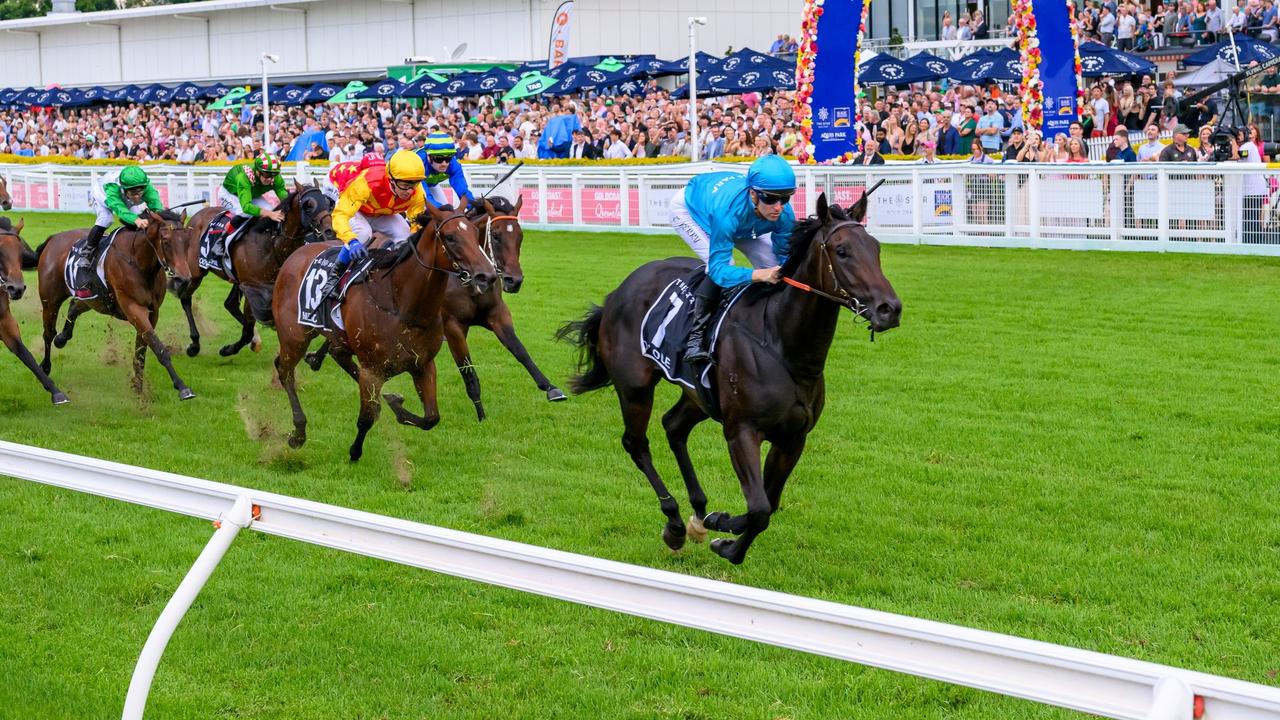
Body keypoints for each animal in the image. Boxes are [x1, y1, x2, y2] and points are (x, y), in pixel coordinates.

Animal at [36, 210, 197, 399]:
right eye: (165, 242)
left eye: (187, 241)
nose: (183, 279)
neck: (137, 261)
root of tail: (54, 238)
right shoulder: (134, 309)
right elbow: (158, 347)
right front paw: (182, 386)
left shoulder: (152, 312)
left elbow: (142, 350)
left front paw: (138, 387)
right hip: (50, 301)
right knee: (48, 333)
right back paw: (45, 367)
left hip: (93, 298)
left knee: (75, 306)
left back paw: (62, 338)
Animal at [175, 181, 335, 356]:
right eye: (309, 205)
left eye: (327, 202)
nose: (329, 232)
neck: (272, 244)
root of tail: (196, 216)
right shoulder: (252, 287)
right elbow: (248, 330)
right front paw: (228, 349)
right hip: (197, 271)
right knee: (185, 298)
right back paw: (194, 344)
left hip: (236, 279)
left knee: (230, 304)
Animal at [272, 202, 496, 458]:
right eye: (450, 237)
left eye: (475, 233)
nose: (487, 275)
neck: (403, 305)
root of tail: (295, 255)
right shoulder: (372, 369)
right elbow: (365, 418)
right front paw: (355, 452)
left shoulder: (423, 364)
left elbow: (431, 418)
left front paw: (395, 404)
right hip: (294, 336)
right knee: (284, 370)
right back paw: (298, 432)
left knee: (337, 356)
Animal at [560, 192, 901, 566]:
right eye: (842, 251)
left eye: (876, 248)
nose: (889, 309)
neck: (782, 344)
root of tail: (618, 292)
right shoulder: (742, 431)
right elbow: (759, 508)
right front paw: (726, 536)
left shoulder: (792, 438)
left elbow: (769, 504)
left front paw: (722, 528)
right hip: (635, 387)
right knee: (636, 444)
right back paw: (675, 523)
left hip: (698, 395)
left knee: (673, 426)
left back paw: (698, 512)